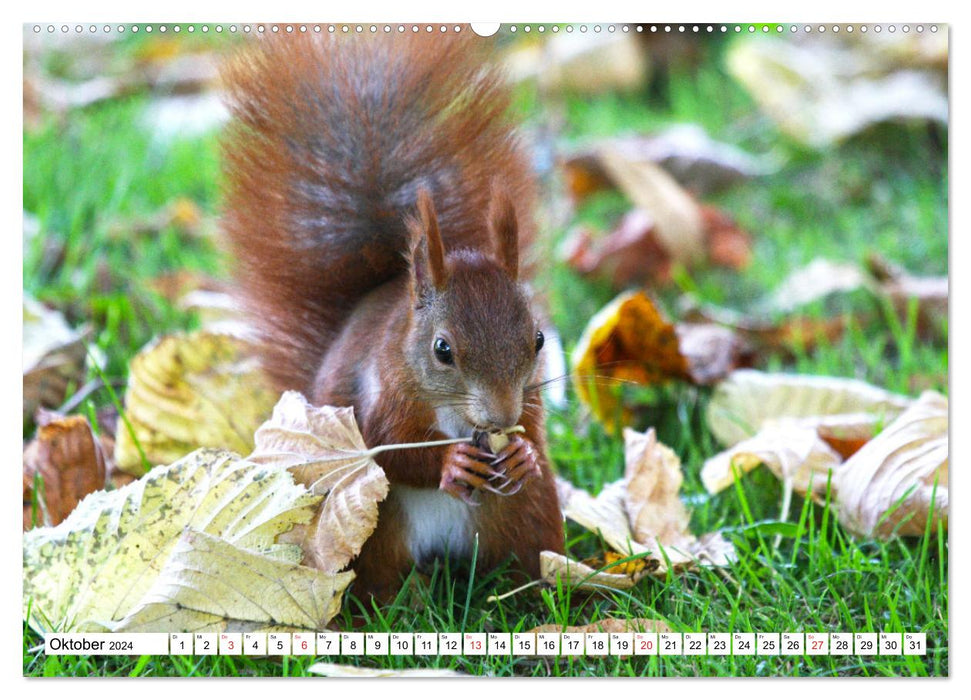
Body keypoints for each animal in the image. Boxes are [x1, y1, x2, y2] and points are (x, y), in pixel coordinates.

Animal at [219, 31, 560, 600]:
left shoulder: (530, 399)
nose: (500, 418)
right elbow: (386, 449)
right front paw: (448, 462)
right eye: (442, 350)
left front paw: (523, 454)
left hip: (527, 515)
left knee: (527, 558)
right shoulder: (380, 393)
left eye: (537, 339)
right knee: (374, 580)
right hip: (376, 534)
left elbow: (535, 433)